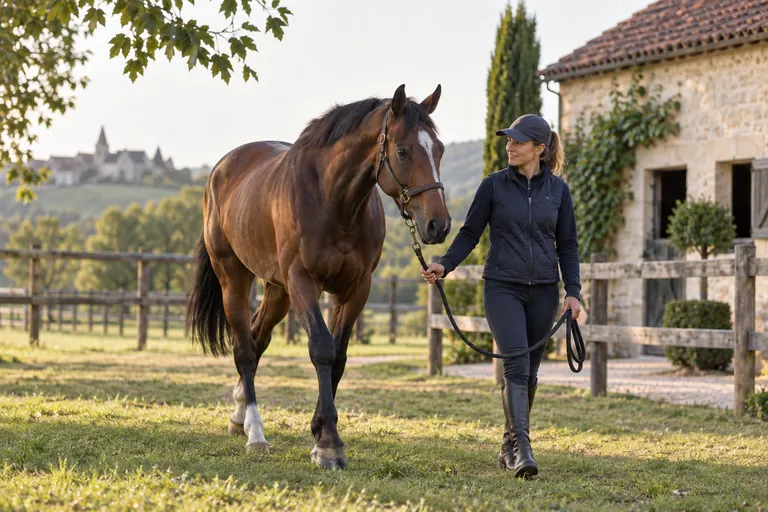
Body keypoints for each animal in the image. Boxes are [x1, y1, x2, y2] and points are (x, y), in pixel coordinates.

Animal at [185, 84, 451, 469]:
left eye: (439, 149)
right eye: (402, 150)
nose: (438, 225)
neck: (332, 200)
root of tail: (221, 170)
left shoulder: (355, 289)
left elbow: (338, 357)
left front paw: (320, 431)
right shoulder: (302, 281)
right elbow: (322, 349)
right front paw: (328, 444)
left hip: (277, 291)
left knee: (257, 339)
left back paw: (238, 416)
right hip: (234, 280)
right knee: (244, 350)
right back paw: (255, 433)